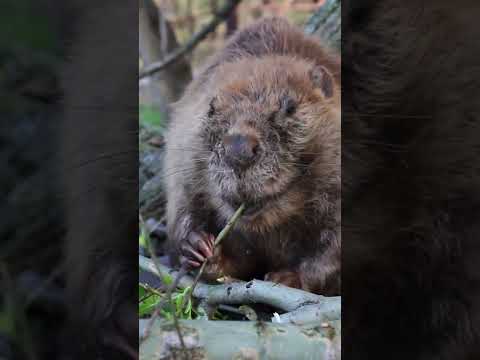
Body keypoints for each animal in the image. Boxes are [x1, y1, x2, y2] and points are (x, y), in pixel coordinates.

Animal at [165, 16, 342, 296]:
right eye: (211, 108)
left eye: (289, 107)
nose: (238, 149)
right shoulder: (181, 156)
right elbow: (183, 209)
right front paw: (200, 249)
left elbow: (333, 250)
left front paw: (285, 277)